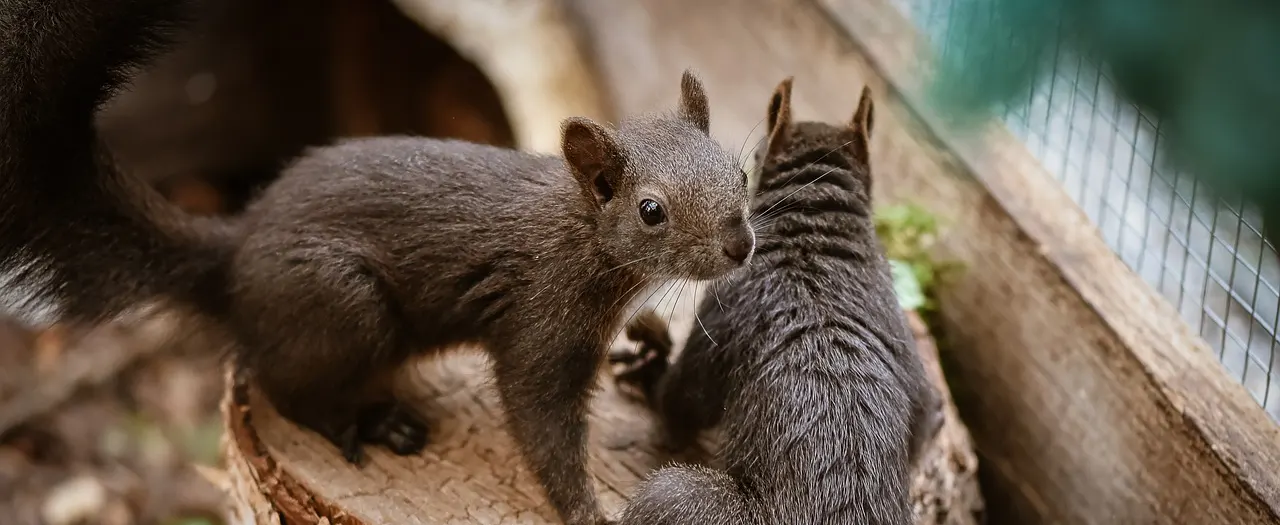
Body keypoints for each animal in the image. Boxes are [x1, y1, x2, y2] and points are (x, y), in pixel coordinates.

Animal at [0, 2, 752, 522]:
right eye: (651, 210)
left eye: (739, 171)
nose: (740, 244)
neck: (583, 234)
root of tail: (233, 256)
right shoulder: (541, 318)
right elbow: (541, 423)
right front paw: (587, 509)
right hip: (342, 303)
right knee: (285, 387)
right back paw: (369, 422)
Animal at [604, 77, 947, 525]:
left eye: (752, 159)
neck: (814, 239)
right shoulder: (897, 323)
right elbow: (926, 417)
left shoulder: (725, 306)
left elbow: (680, 399)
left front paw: (649, 372)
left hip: (675, 498)